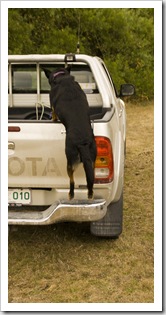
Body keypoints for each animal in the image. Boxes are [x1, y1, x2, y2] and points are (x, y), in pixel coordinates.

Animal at [43, 66, 96, 200]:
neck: (62, 77)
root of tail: (82, 142)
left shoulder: (52, 106)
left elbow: (54, 113)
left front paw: (53, 119)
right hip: (92, 160)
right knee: (90, 179)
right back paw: (90, 193)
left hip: (70, 160)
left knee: (72, 181)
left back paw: (71, 194)